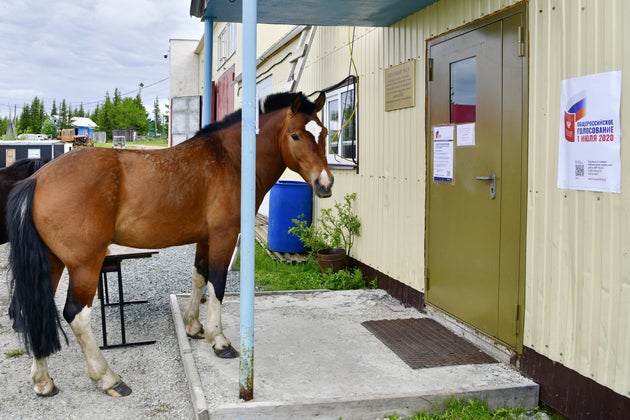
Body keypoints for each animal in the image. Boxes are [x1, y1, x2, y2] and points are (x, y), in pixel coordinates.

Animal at [7, 92, 334, 398]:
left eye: (324, 133)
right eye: (295, 135)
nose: (325, 183)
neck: (231, 158)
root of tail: (38, 178)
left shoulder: (206, 238)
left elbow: (199, 276)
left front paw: (193, 326)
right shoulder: (225, 235)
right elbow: (217, 283)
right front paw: (219, 340)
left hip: (52, 262)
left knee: (38, 310)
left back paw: (43, 381)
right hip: (85, 265)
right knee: (76, 316)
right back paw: (109, 378)